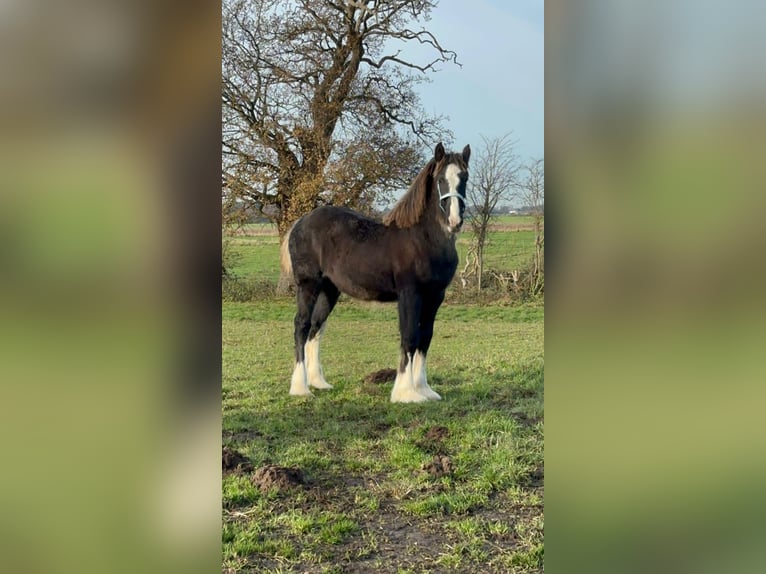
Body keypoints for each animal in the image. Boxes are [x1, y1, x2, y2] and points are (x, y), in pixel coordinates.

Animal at [282, 144, 472, 404]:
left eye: (464, 178)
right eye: (440, 179)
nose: (455, 221)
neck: (423, 238)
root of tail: (299, 223)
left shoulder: (435, 297)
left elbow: (425, 338)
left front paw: (423, 389)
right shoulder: (410, 294)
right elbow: (409, 336)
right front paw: (405, 393)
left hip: (329, 290)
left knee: (315, 328)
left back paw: (318, 382)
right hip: (308, 285)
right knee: (301, 326)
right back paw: (301, 388)